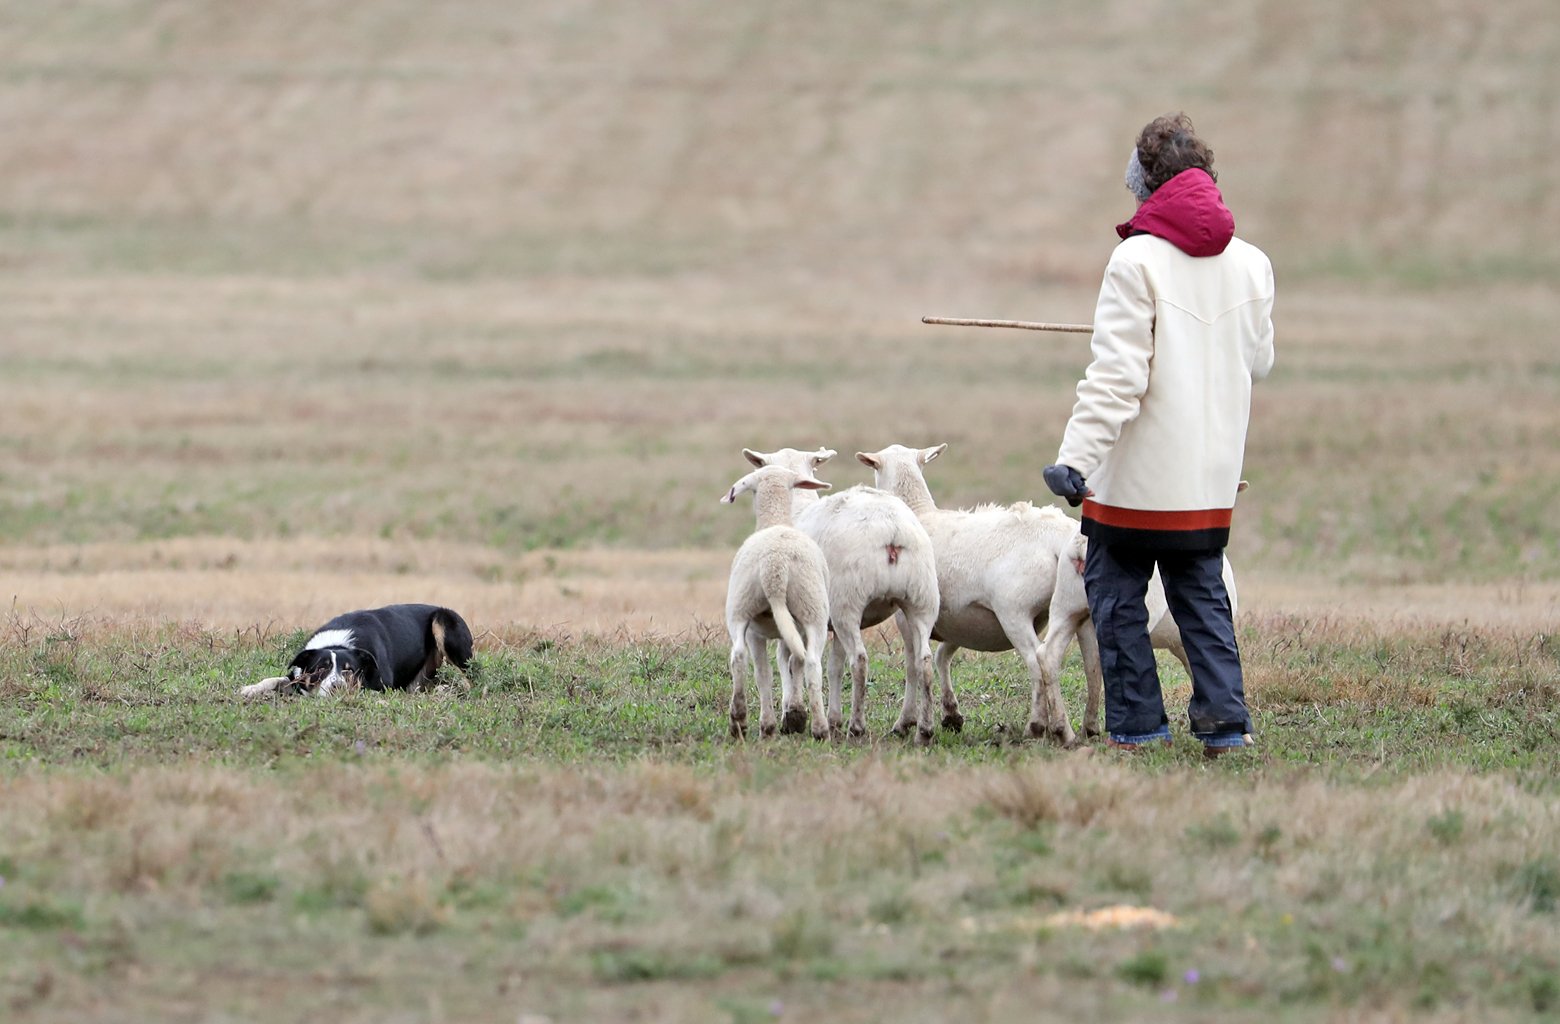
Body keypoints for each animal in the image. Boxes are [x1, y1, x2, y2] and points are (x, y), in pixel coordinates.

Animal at [721, 464, 834, 740]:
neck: (775, 520)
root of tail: (775, 567)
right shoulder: (792, 630)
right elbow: (792, 663)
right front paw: (795, 714)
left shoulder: (770, 630)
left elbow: (785, 664)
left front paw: (792, 714)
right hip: (812, 610)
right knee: (809, 664)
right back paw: (814, 728)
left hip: (741, 609)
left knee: (742, 659)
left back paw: (742, 720)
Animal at [741, 447, 947, 743]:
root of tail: (892, 529)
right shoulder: (827, 625)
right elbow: (833, 667)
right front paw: (831, 719)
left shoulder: (803, 615)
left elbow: (791, 660)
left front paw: (794, 714)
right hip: (921, 600)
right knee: (923, 662)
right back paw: (923, 730)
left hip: (848, 604)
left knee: (860, 660)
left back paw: (857, 726)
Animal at [856, 443, 1084, 745]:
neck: (919, 511)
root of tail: (1058, 537)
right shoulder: (960, 619)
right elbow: (942, 657)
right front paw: (952, 715)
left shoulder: (907, 617)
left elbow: (913, 667)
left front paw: (905, 722)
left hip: (1014, 612)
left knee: (1038, 662)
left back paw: (1038, 726)